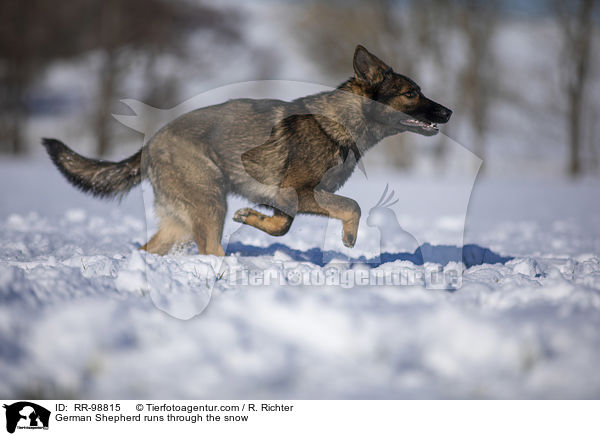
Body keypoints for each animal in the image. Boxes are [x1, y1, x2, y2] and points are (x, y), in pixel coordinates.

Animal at [43, 46, 450, 255]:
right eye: (411, 94)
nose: (448, 112)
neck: (341, 121)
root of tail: (150, 141)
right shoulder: (300, 192)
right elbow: (352, 206)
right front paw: (349, 237)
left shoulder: (288, 199)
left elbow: (281, 227)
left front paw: (253, 219)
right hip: (210, 201)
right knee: (210, 249)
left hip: (182, 220)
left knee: (151, 247)